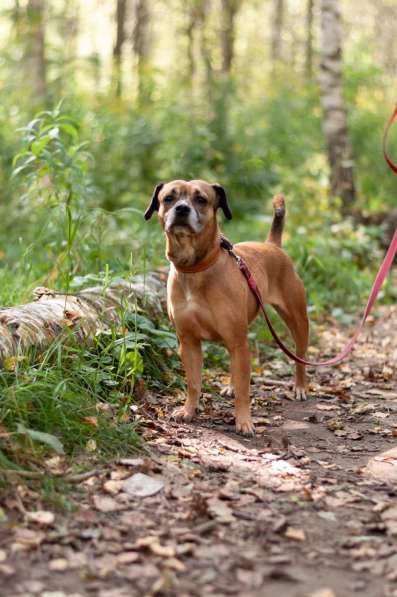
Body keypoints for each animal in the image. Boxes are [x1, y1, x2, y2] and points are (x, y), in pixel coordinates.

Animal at [144, 179, 308, 436]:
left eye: (201, 199)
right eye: (168, 198)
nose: (182, 209)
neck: (195, 268)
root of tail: (272, 245)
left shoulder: (237, 340)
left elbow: (244, 390)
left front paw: (244, 421)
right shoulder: (189, 342)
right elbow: (193, 382)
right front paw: (189, 410)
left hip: (297, 321)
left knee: (299, 356)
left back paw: (300, 386)